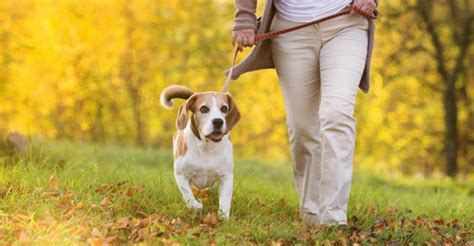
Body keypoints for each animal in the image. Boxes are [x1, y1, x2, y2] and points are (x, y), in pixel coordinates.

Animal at [161, 85, 241, 219]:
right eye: (204, 109)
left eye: (224, 108)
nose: (218, 121)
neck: (206, 146)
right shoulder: (181, 175)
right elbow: (188, 195)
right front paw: (196, 205)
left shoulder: (226, 176)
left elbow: (225, 200)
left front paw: (223, 217)